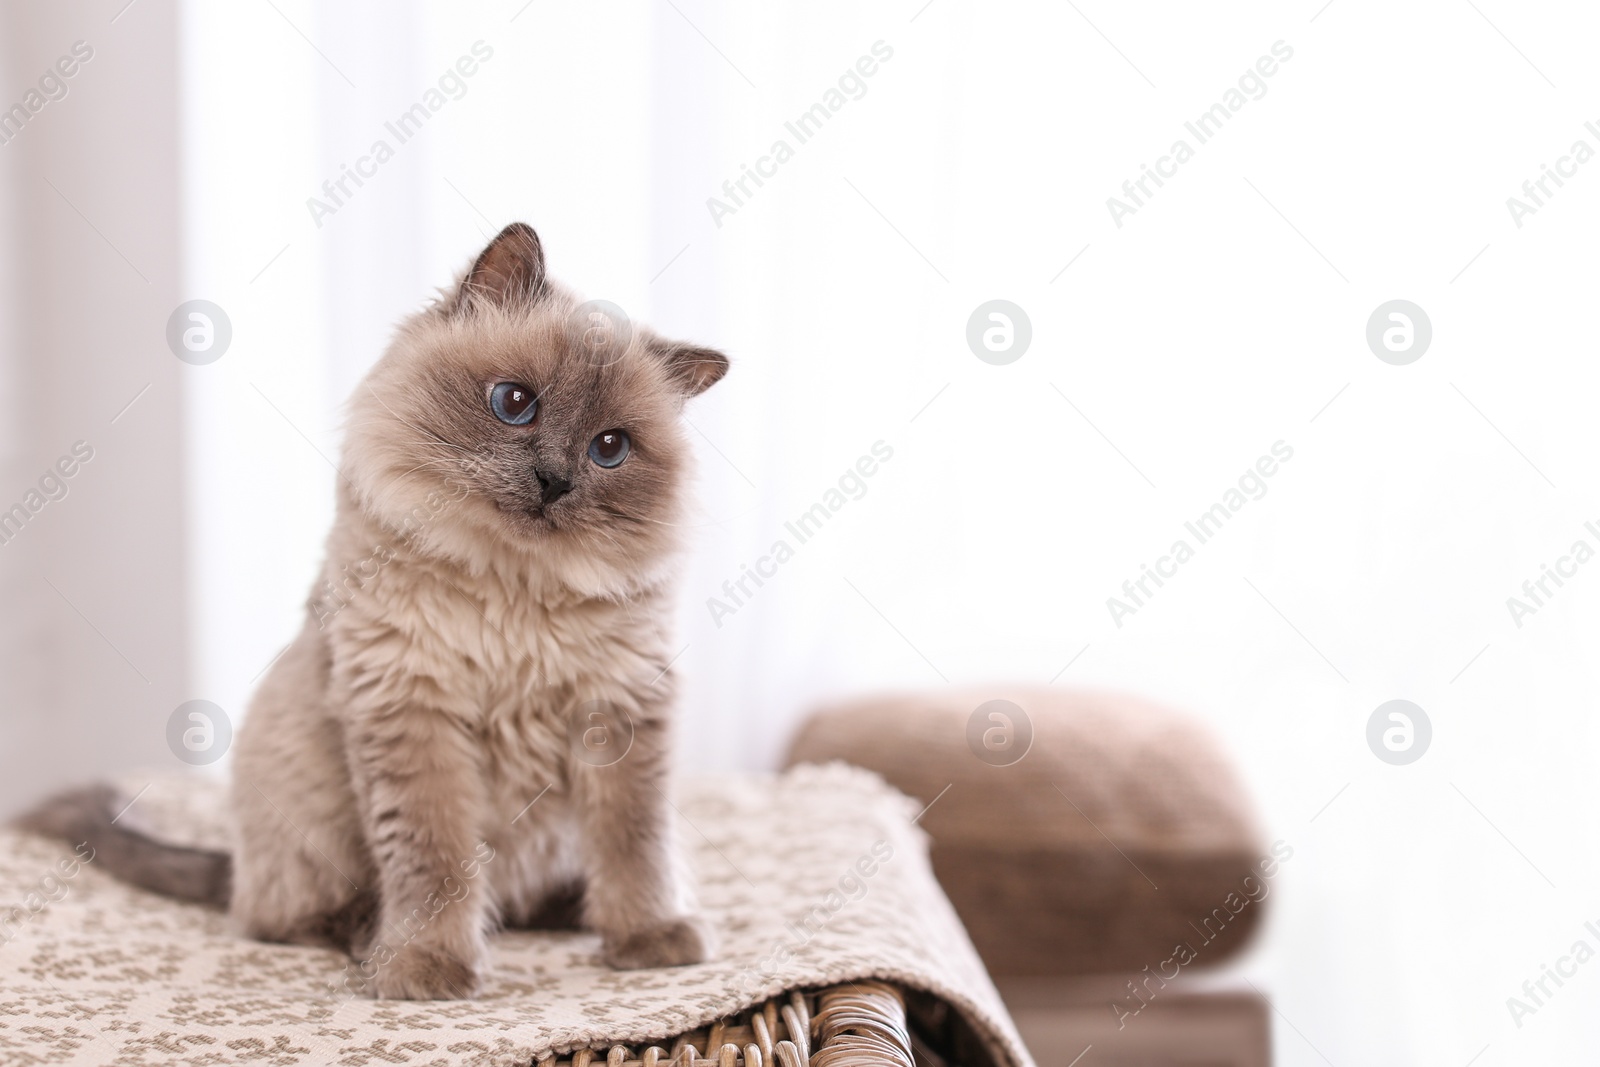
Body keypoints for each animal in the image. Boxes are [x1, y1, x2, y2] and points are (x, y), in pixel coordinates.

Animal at [17, 225, 732, 1004]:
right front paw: (425, 969)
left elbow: (635, 845)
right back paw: (369, 937)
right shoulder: (412, 714)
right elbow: (434, 862)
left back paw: (565, 916)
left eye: (610, 448)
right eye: (514, 402)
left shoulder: (618, 712)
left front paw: (649, 940)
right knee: (281, 916)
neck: (512, 589)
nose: (553, 481)